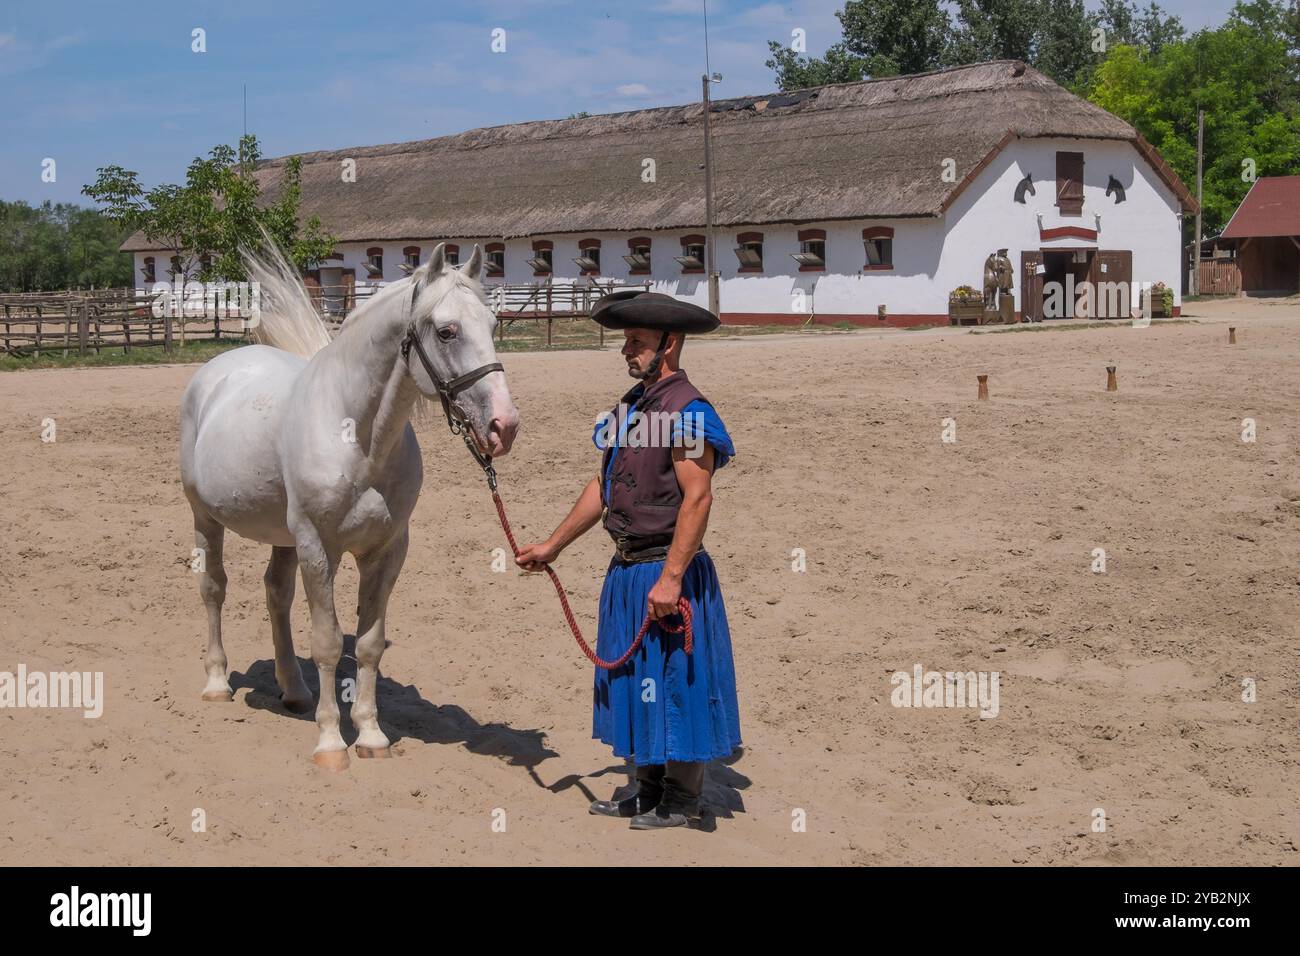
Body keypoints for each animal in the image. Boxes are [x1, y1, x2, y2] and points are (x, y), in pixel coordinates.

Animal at [179, 241, 518, 770]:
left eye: (493, 323)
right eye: (446, 330)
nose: (504, 425)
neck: (356, 436)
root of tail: (220, 370)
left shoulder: (387, 550)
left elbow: (369, 644)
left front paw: (371, 735)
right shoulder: (319, 548)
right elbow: (327, 642)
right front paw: (331, 743)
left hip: (285, 538)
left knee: (276, 594)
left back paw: (294, 691)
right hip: (205, 518)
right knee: (213, 588)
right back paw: (217, 682)